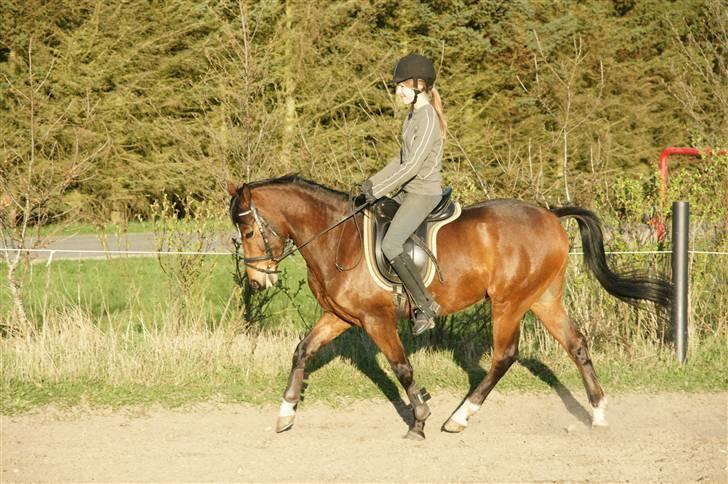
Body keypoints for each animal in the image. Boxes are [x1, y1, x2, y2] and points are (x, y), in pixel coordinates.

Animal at [227, 175, 671, 440]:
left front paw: (419, 418)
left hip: (509, 302)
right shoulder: (340, 316)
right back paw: (598, 413)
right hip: (544, 299)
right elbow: (302, 350)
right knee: (576, 344)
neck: (339, 239)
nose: (259, 280)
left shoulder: (376, 319)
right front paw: (286, 412)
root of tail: (549, 213)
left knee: (505, 355)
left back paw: (459, 417)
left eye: (247, 230)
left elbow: (401, 366)